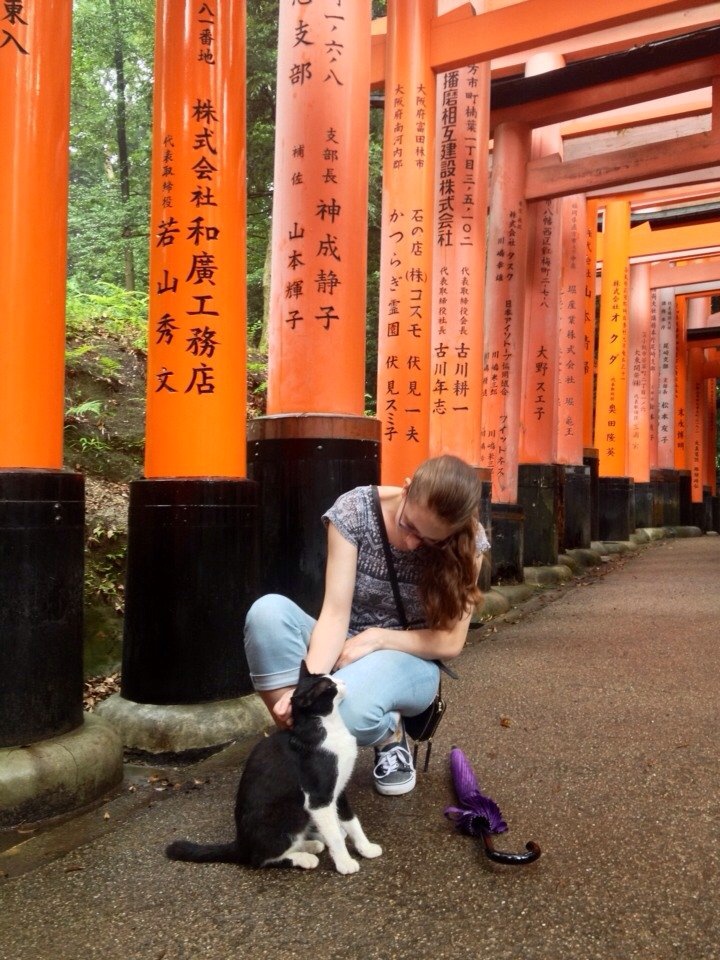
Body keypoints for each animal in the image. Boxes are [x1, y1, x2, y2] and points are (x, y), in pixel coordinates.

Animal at [165, 661, 382, 874]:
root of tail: (241, 845)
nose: (343, 681)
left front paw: (366, 848)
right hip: (290, 815)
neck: (326, 727)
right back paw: (304, 857)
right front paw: (344, 863)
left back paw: (310, 844)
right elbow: (335, 835)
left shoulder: (339, 788)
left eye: (331, 678)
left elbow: (351, 820)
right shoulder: (318, 797)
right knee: (260, 859)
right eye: (329, 687)